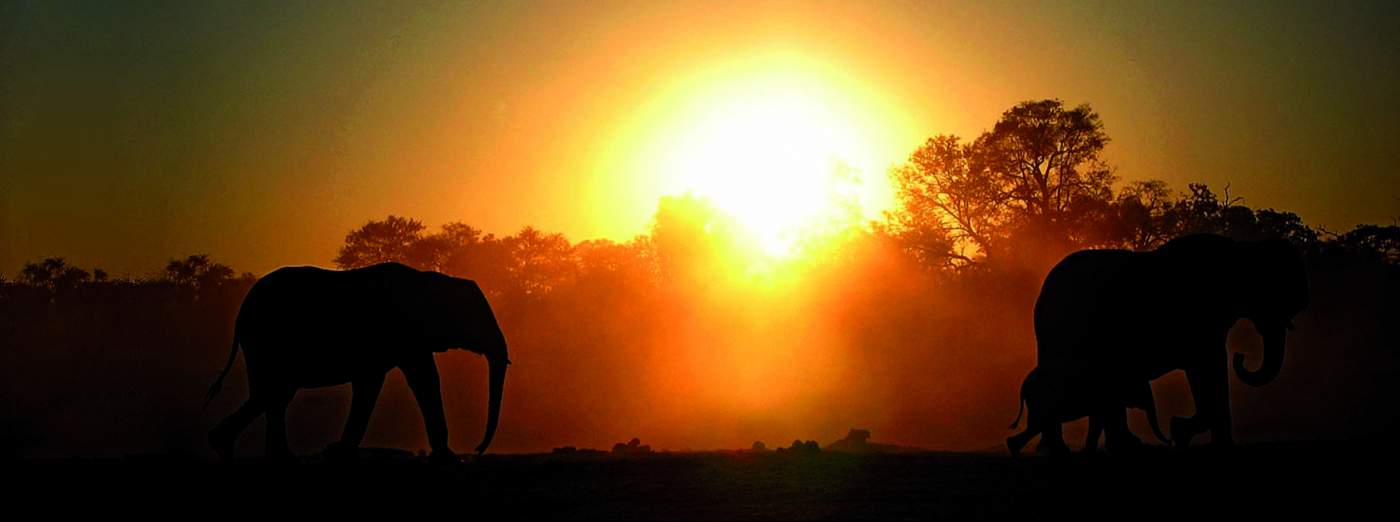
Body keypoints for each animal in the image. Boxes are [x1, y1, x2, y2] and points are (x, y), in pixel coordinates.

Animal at [204, 261, 512, 456]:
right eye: (476, 318)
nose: (475, 450)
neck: (435, 279)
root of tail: (240, 314)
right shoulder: (401, 332)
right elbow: (416, 380)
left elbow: (386, 382)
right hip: (265, 341)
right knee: (274, 393)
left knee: (274, 394)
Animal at [1008, 366, 1170, 456]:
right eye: (1143, 389)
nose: (1170, 441)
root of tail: (1023, 387)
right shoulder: (1104, 394)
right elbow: (1100, 419)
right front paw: (1089, 452)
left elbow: (1100, 418)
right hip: (1041, 400)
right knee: (1040, 424)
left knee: (1039, 425)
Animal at [1030, 233, 1310, 453]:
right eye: (1277, 298)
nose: (1241, 357)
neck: (1242, 249)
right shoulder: (1199, 317)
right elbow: (1210, 364)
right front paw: (1183, 432)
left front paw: (1196, 436)